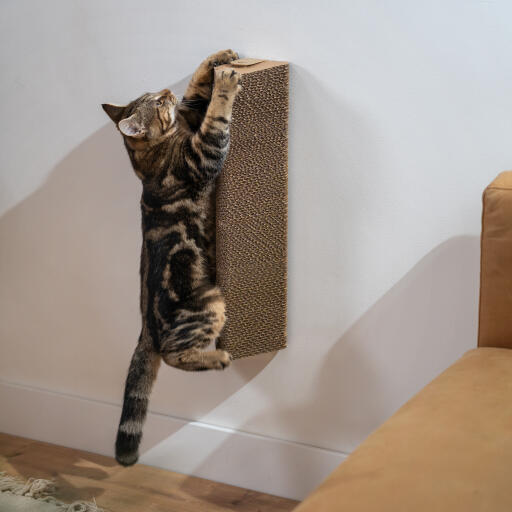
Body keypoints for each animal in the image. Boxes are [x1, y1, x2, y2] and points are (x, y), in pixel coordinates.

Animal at [103, 50, 243, 466]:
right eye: (158, 102)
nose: (166, 90)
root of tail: (145, 328)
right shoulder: (203, 153)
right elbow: (216, 115)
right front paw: (226, 82)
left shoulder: (192, 116)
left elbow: (197, 90)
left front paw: (220, 59)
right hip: (209, 302)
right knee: (172, 356)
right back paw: (217, 358)